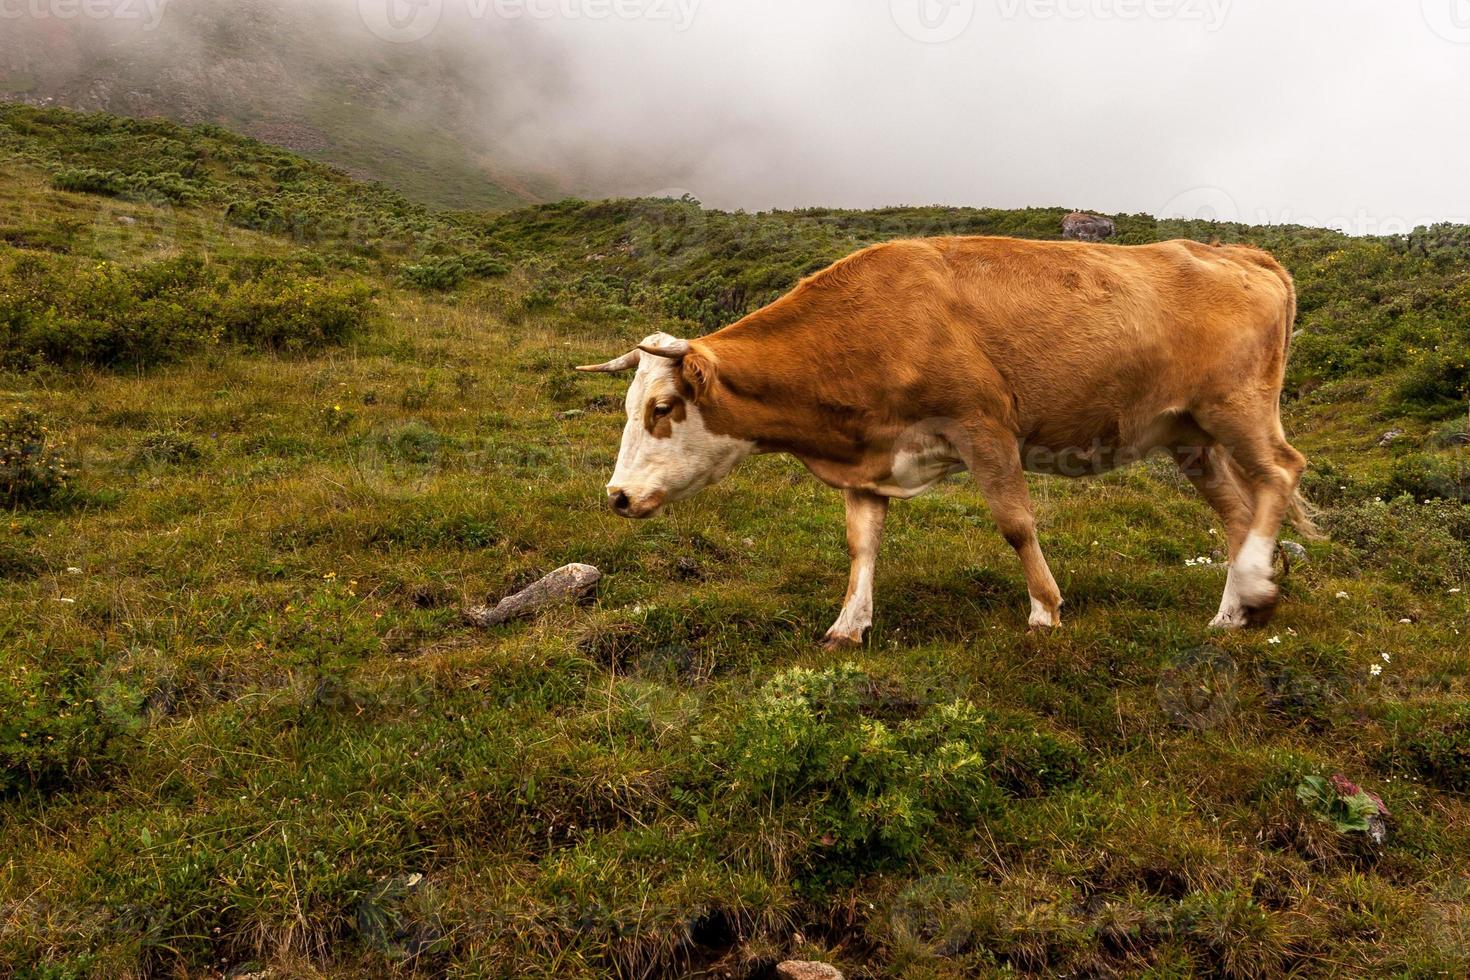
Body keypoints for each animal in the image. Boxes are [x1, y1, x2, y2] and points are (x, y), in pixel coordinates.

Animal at [576, 236, 1323, 646]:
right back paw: (1234, 610)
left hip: (1238, 407)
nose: (616, 496)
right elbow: (862, 545)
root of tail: (1235, 252)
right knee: (1238, 510)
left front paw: (1045, 611)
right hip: (1189, 434)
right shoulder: (867, 459)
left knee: (1281, 473)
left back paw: (1255, 586)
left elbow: (1016, 523)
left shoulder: (983, 424)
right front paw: (848, 626)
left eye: (663, 407)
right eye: (631, 405)